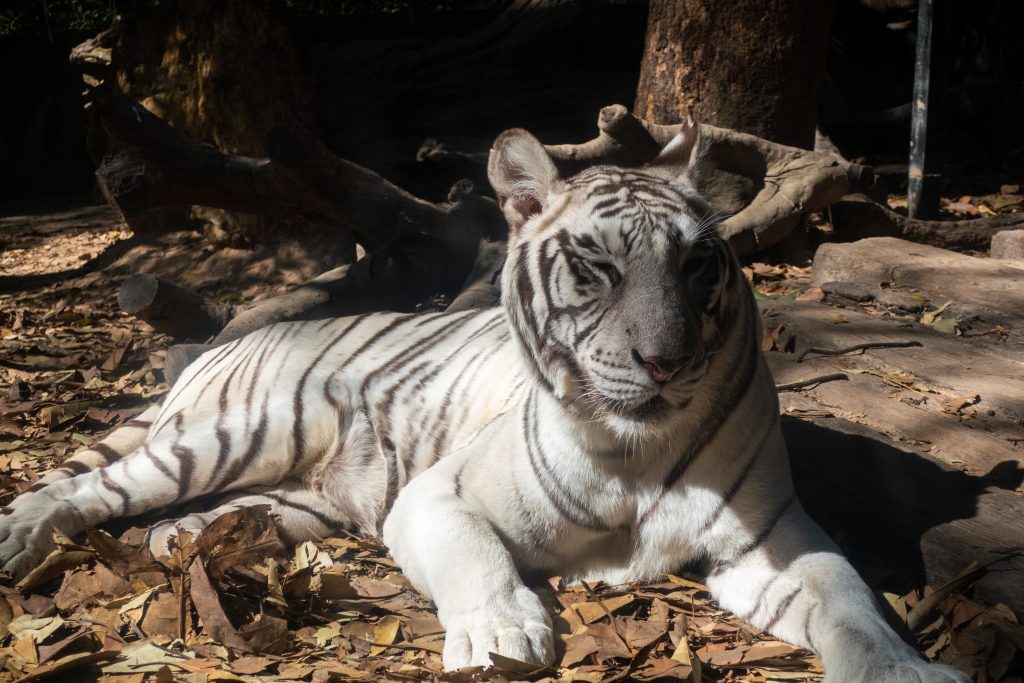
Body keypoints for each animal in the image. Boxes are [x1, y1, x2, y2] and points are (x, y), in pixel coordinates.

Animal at [0, 118, 967, 682]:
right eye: (597, 266)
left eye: (698, 263)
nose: (665, 363)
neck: (637, 451)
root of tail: (225, 341)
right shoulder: (442, 495)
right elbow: (478, 559)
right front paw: (504, 632)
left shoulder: (766, 536)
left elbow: (851, 599)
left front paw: (906, 671)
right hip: (243, 431)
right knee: (91, 485)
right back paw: (23, 535)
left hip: (296, 494)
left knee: (192, 514)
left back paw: (188, 540)